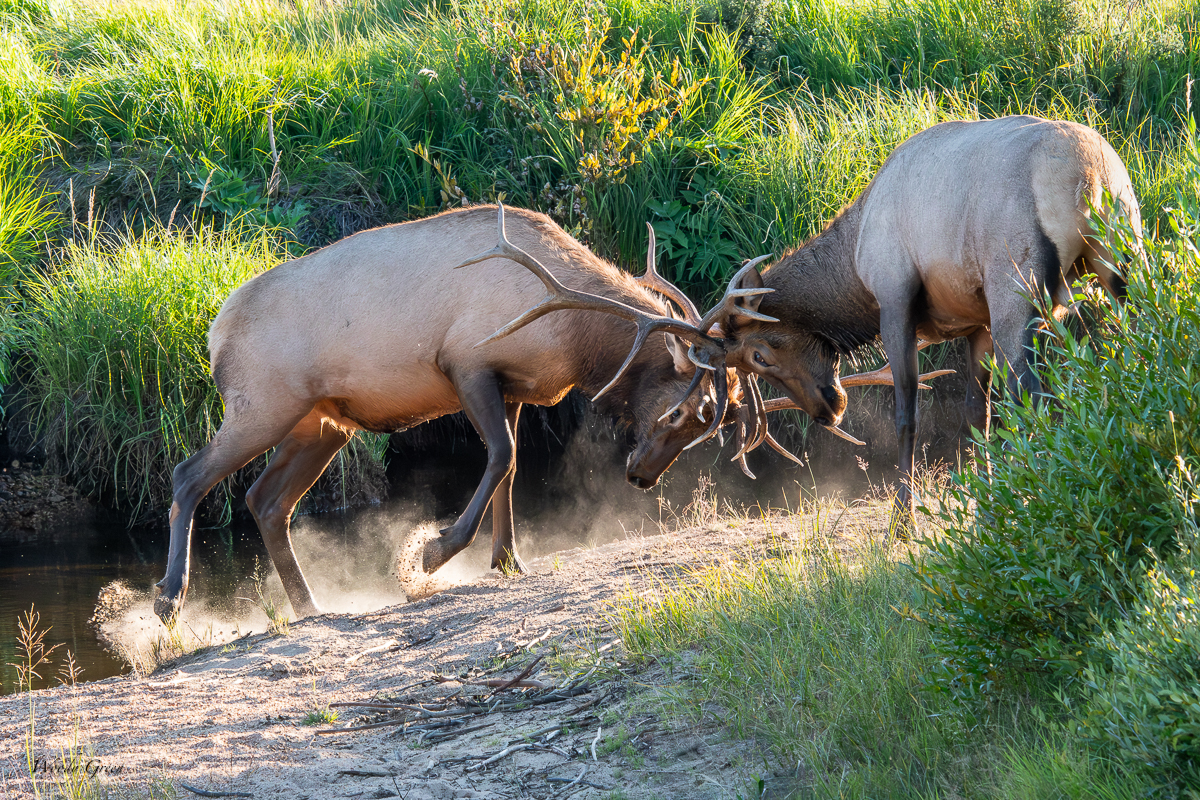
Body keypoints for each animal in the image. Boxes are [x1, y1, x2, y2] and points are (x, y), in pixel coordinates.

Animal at [152, 201, 806, 623]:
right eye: (687, 412)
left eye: (712, 420)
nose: (640, 475)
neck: (575, 338)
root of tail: (213, 332)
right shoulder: (467, 363)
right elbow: (503, 457)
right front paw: (433, 553)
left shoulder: (515, 389)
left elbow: (511, 471)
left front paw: (509, 558)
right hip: (262, 403)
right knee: (188, 475)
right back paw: (167, 599)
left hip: (320, 422)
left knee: (266, 500)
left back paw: (309, 605)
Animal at [710, 113, 1142, 525]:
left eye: (759, 355)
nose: (828, 410)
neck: (854, 264)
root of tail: (1089, 178)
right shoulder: (977, 321)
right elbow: (977, 415)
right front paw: (986, 508)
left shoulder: (895, 298)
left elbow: (907, 415)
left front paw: (903, 522)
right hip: (1125, 261)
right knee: (1138, 349)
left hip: (1017, 286)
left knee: (1029, 397)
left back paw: (1038, 497)